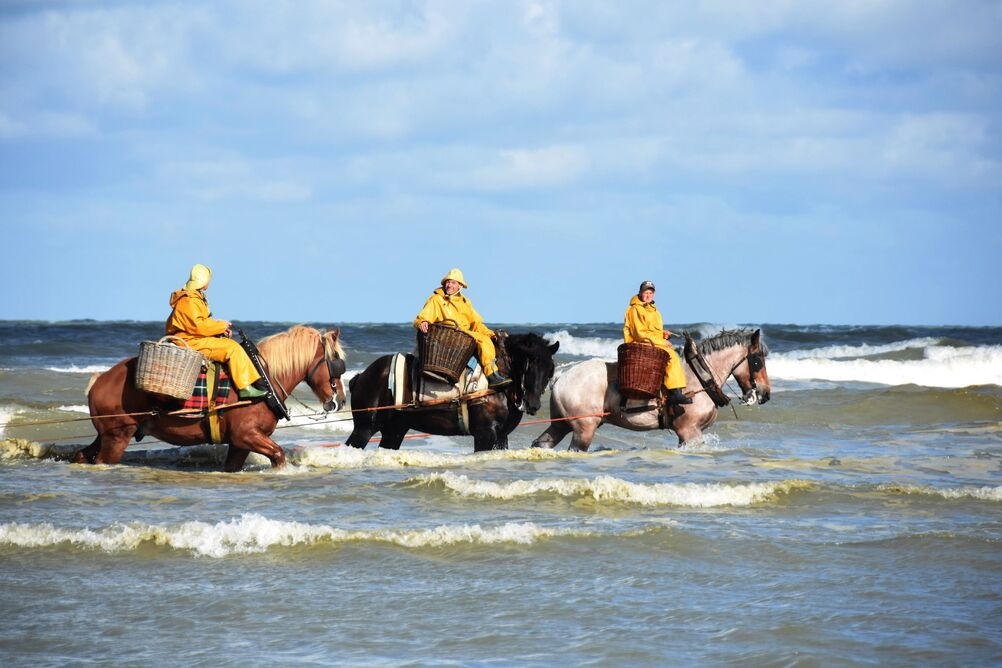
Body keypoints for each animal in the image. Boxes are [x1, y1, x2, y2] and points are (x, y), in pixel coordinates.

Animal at [77, 326, 348, 472]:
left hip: (106, 434)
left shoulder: (239, 444)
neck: (264, 377)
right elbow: (279, 454)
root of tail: (100, 379)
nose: (342, 401)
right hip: (117, 437)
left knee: (83, 455)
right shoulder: (246, 435)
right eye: (335, 362)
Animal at [346, 332, 561, 452]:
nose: (533, 404)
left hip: (394, 431)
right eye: (528, 366)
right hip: (365, 429)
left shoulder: (501, 436)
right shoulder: (485, 434)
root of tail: (362, 375)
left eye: (550, 370)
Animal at [533, 328, 773, 448]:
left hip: (561, 424)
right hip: (584, 429)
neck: (699, 376)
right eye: (757, 360)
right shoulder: (689, 432)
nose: (765, 393)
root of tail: (561, 377)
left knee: (541, 443)